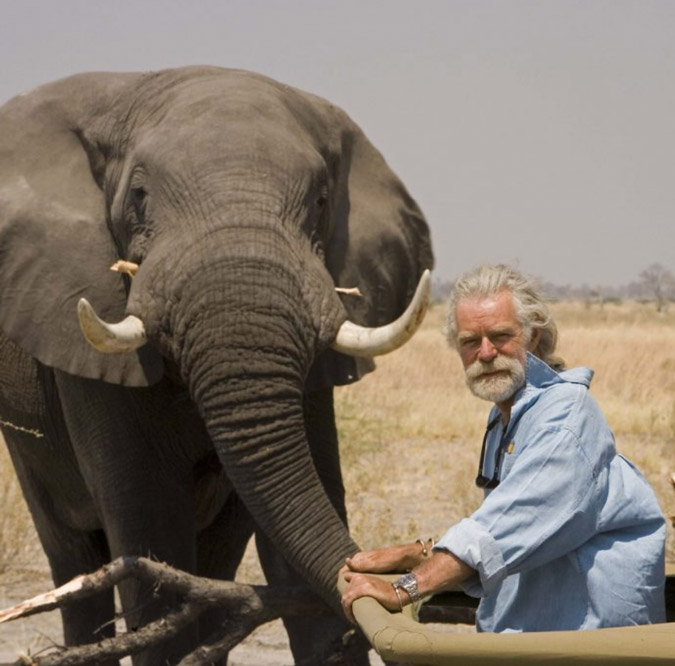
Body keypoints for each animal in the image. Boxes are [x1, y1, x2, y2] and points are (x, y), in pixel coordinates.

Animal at [0, 65, 434, 660]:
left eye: (322, 201)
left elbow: (303, 507)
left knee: (217, 560)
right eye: (138, 196)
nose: (409, 557)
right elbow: (152, 525)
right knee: (74, 558)